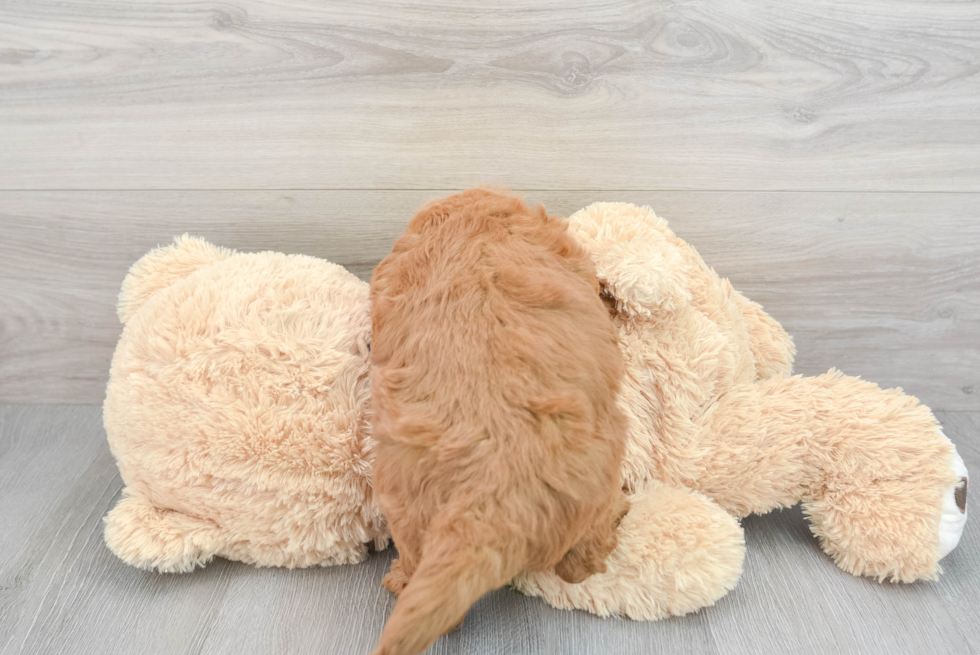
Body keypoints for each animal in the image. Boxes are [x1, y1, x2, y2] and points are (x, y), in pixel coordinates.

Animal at [368, 190, 628, 655]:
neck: (473, 221)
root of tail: (489, 500)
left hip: (403, 503)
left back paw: (400, 579)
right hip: (603, 466)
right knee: (579, 564)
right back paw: (620, 511)